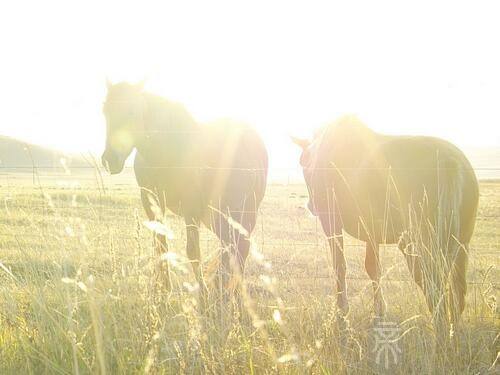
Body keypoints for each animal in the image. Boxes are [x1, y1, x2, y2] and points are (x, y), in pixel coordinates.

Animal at [99, 81, 268, 304]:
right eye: (105, 111)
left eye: (133, 110)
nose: (110, 159)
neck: (167, 151)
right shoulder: (151, 201)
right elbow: (160, 245)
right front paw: (162, 290)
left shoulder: (191, 207)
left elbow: (193, 251)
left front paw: (203, 293)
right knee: (231, 247)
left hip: (243, 211)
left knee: (239, 248)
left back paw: (230, 292)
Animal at [292, 117, 480, 344]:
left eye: (303, 162)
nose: (311, 205)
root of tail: (450, 163)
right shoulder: (372, 232)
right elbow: (373, 268)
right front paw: (379, 313)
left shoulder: (331, 221)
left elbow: (340, 268)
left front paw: (342, 318)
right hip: (460, 243)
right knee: (457, 291)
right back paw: (453, 334)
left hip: (421, 244)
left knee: (435, 289)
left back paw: (441, 338)